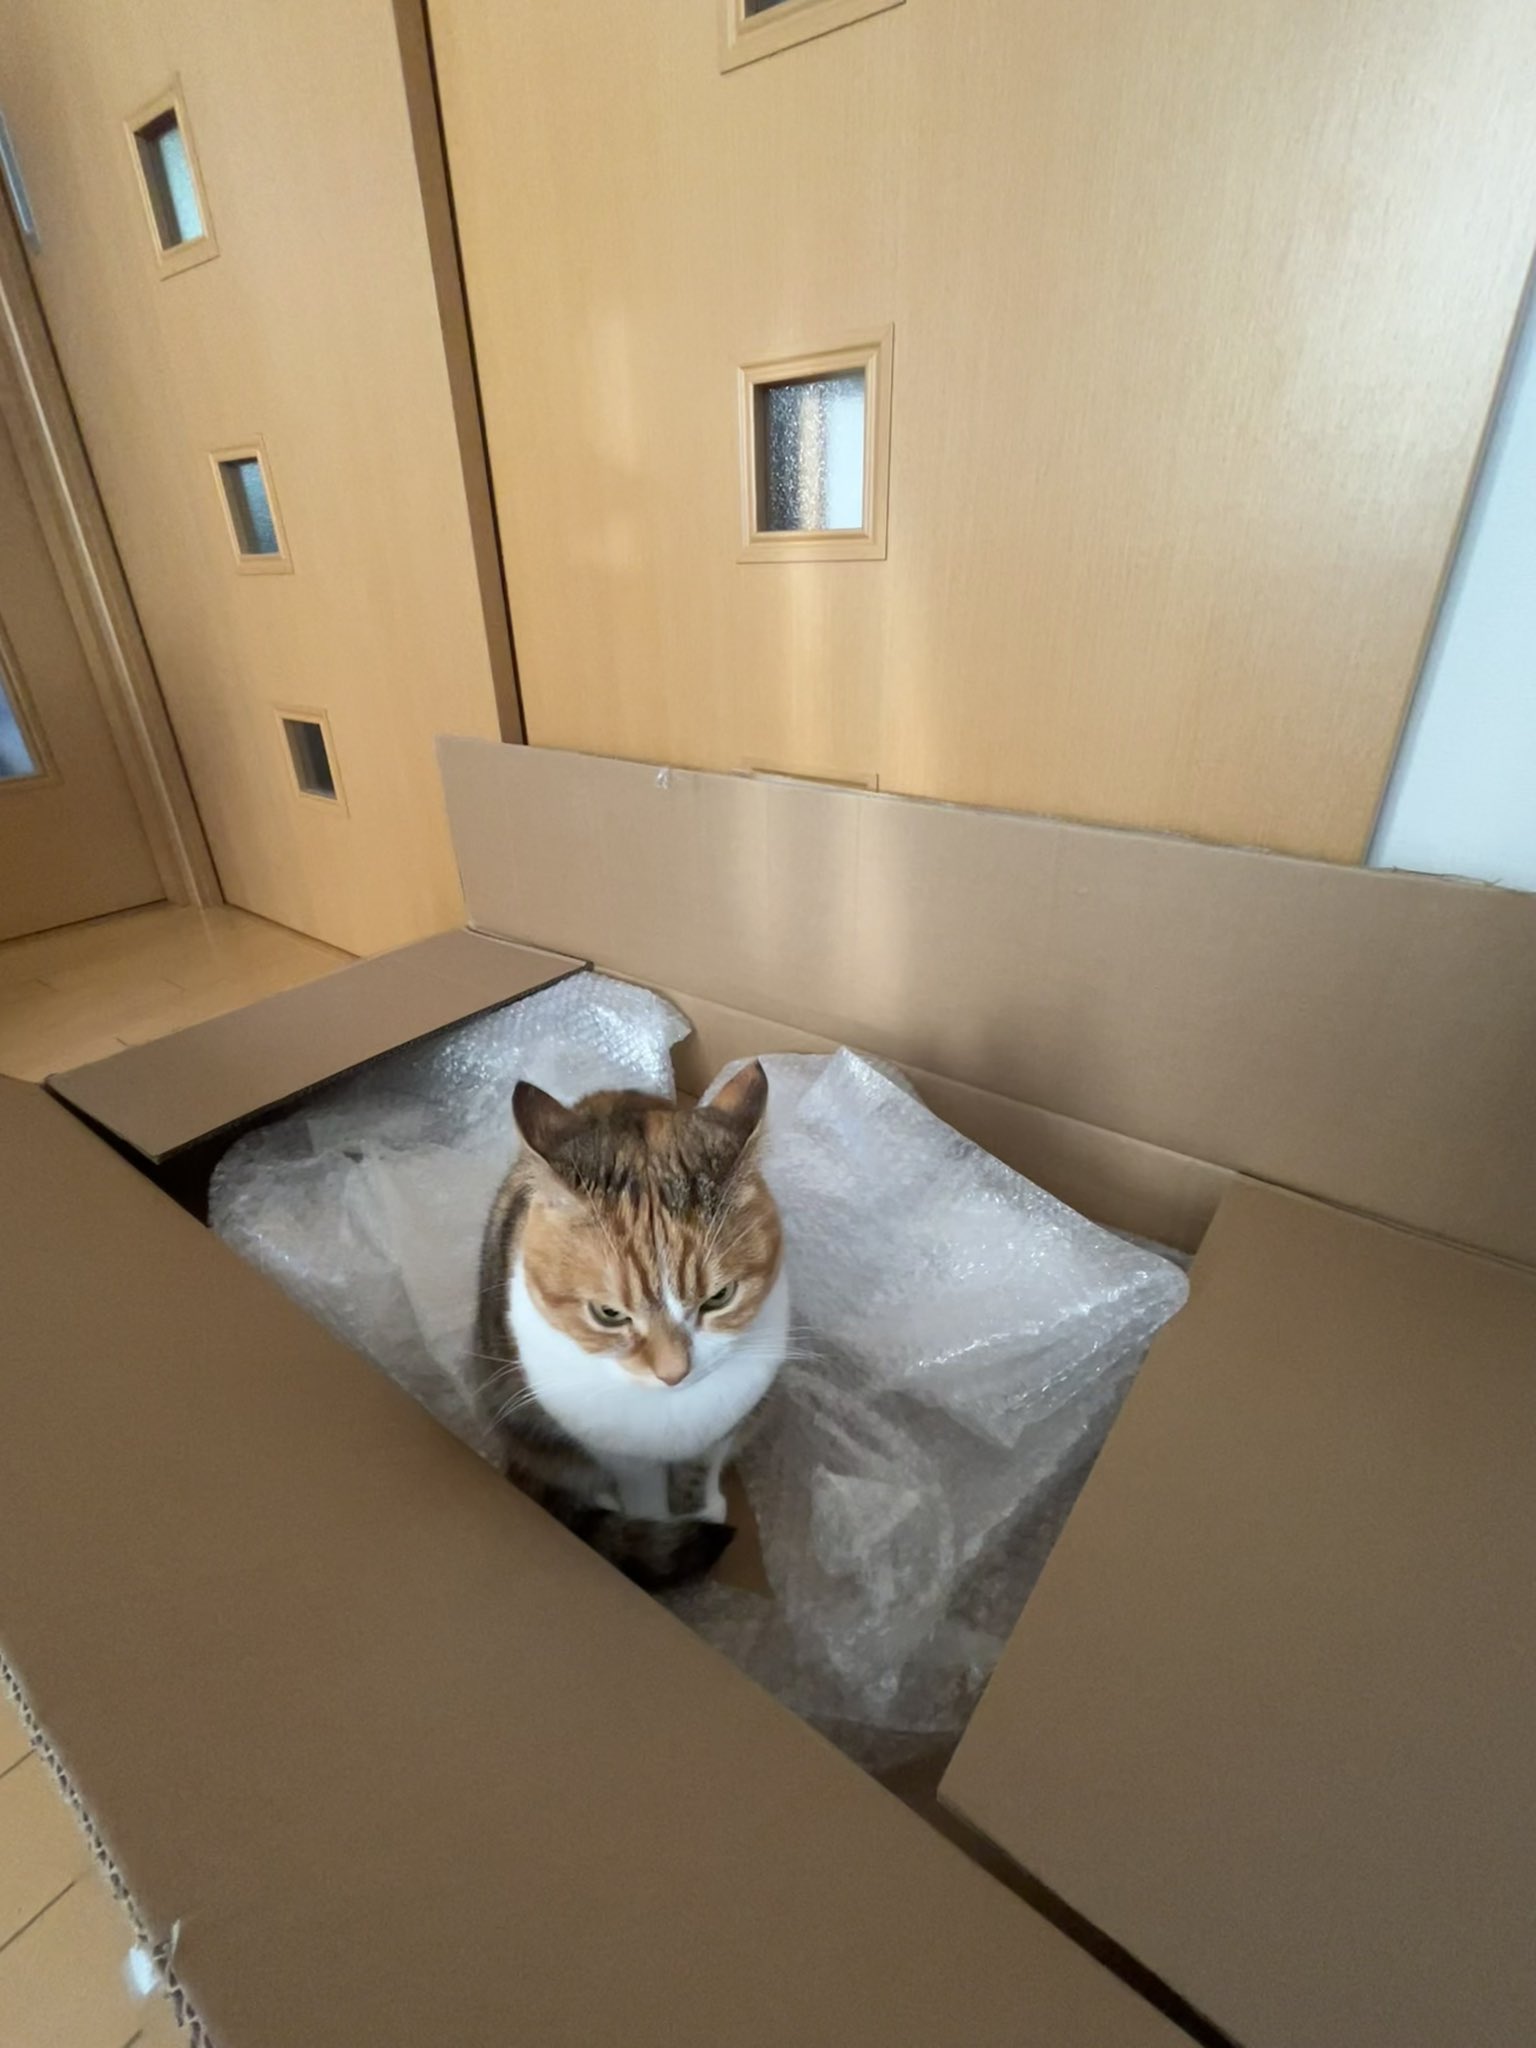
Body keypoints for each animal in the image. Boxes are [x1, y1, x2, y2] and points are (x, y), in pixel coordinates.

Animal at [474, 1060, 788, 1591]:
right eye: (609, 1314)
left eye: (719, 1297)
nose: (674, 1373)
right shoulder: (619, 1454)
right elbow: (643, 1493)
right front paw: (661, 1522)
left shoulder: (726, 1421)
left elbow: (701, 1466)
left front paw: (701, 1507)